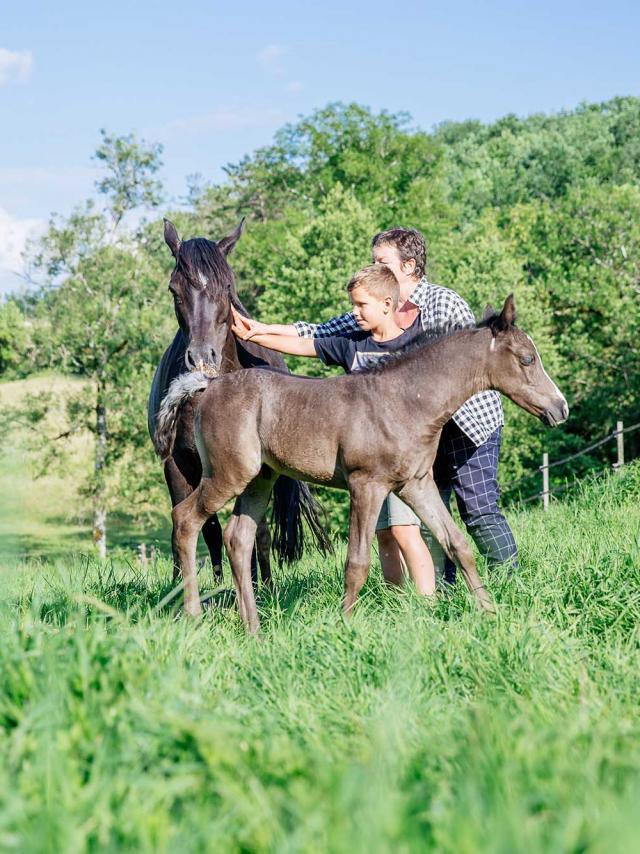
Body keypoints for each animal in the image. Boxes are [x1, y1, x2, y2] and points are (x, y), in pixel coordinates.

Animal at [149, 219, 330, 588]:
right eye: (174, 289)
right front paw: (186, 586)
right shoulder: (177, 464)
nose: (202, 357)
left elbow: (255, 530)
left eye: (228, 286)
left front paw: (260, 587)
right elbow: (200, 527)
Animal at [160, 296, 568, 636]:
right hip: (227, 475)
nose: (560, 408)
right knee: (186, 519)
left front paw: (490, 612)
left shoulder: (416, 484)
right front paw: (344, 626)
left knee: (238, 539)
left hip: (261, 478)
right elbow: (356, 562)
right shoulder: (366, 485)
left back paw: (254, 629)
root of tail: (208, 385)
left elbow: (457, 544)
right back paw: (194, 616)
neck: (405, 400)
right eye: (527, 359)